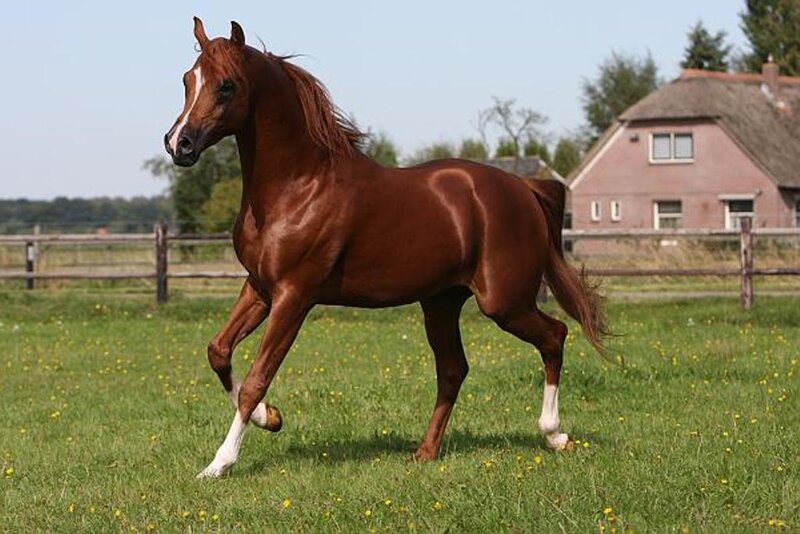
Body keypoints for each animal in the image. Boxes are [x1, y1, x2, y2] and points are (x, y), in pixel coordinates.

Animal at [164, 18, 607, 478]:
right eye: (188, 79)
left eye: (226, 86)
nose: (179, 144)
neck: (298, 185)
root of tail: (524, 189)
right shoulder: (260, 287)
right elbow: (218, 352)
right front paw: (271, 418)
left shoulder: (294, 295)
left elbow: (256, 379)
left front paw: (219, 464)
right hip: (441, 302)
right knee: (454, 370)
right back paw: (426, 452)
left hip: (504, 302)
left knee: (554, 336)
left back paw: (555, 435)